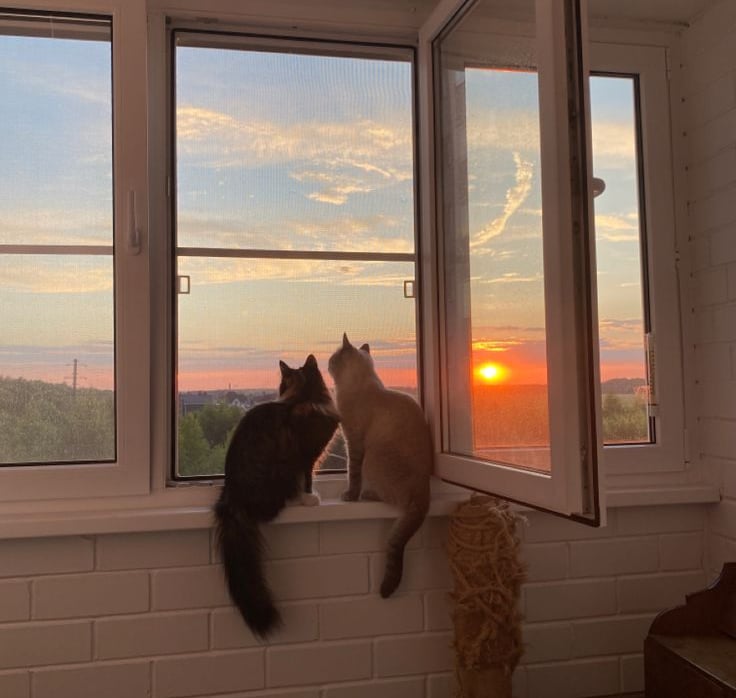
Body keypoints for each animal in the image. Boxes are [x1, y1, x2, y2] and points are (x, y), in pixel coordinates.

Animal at [214, 354, 339, 637]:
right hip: (280, 468)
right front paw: (310, 498)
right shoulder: (307, 455)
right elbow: (307, 478)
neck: (302, 397)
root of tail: (231, 497)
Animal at [328, 333, 432, 597]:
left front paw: (350, 496)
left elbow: (352, 474)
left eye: (333, 359)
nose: (327, 365)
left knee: (382, 494)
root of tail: (424, 494)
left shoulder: (353, 442)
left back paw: (366, 494)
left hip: (372, 458)